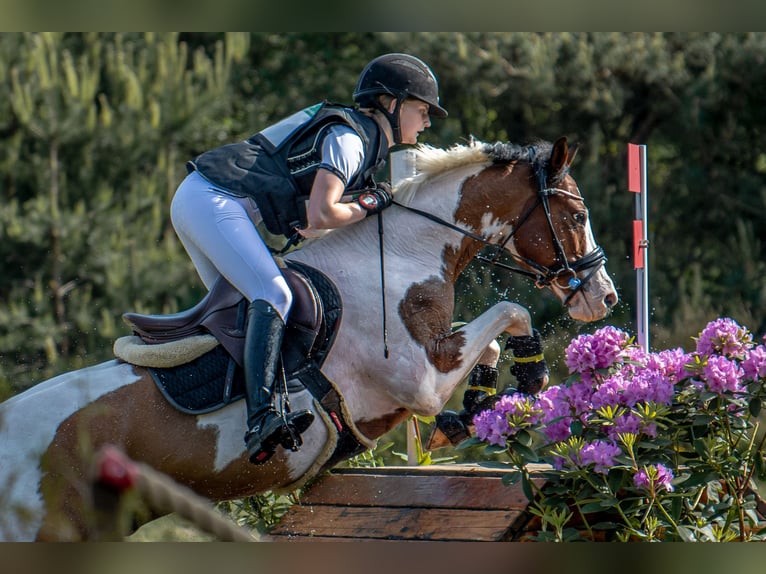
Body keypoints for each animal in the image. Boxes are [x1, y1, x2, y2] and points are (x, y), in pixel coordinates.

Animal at [0, 137, 616, 544]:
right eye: (577, 215)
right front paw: (530, 373)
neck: (399, 252)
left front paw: (471, 411)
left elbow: (489, 341)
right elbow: (510, 311)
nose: (604, 297)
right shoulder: (417, 380)